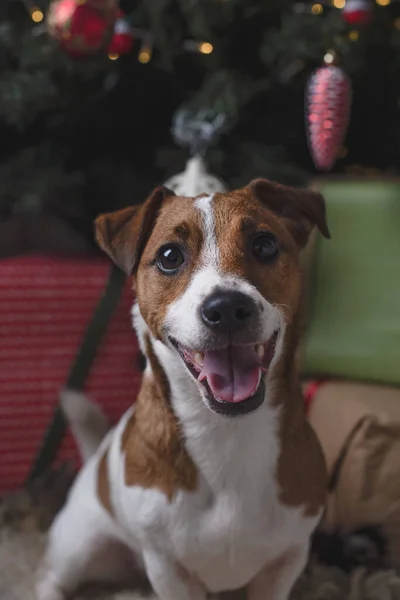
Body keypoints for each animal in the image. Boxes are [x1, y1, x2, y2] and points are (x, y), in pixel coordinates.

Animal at [37, 179, 330, 600]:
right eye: (169, 256)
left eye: (265, 245)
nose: (227, 308)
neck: (226, 433)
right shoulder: (168, 568)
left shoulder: (286, 559)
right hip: (81, 545)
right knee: (52, 577)